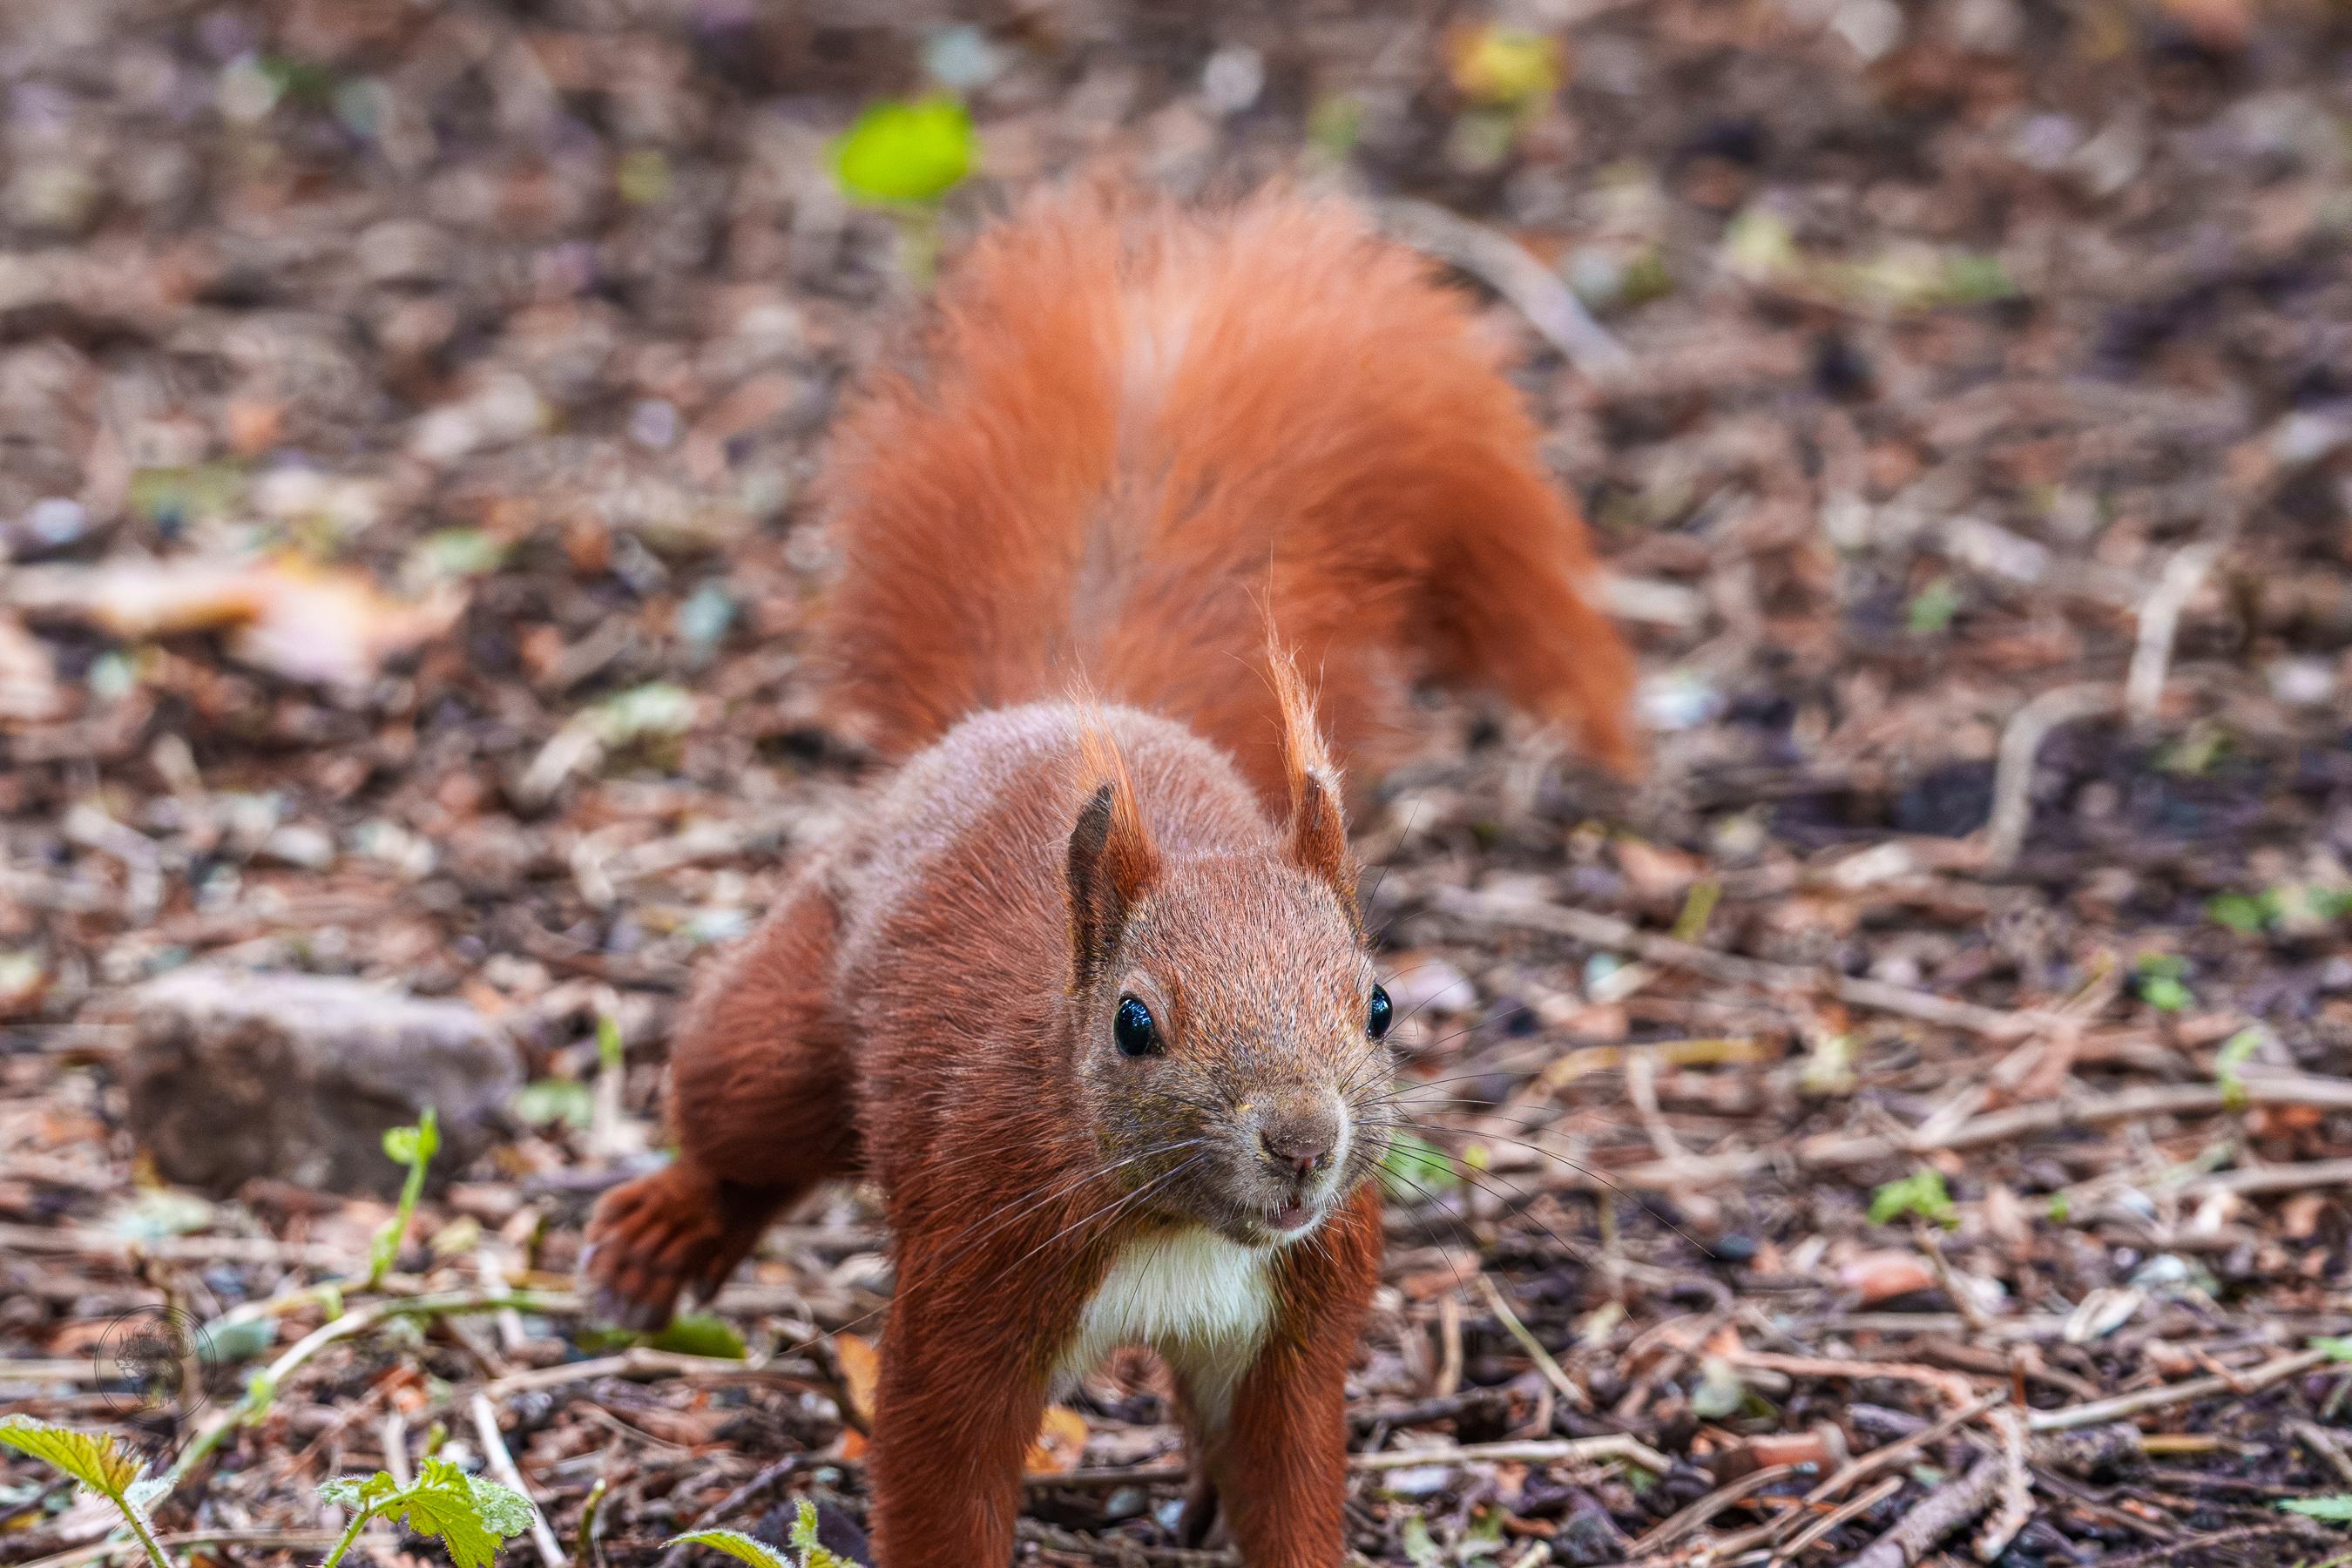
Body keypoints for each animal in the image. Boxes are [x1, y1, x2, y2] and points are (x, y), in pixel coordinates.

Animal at [581, 189, 1636, 1567]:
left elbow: (1290, 1480)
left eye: (1380, 1004)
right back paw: (666, 1232)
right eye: (1135, 1023)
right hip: (786, 1023)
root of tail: (1047, 707)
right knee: (739, 1118)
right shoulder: (972, 1270)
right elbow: (940, 1472)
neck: (1179, 1226)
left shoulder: (1301, 1314)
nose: (1303, 1142)